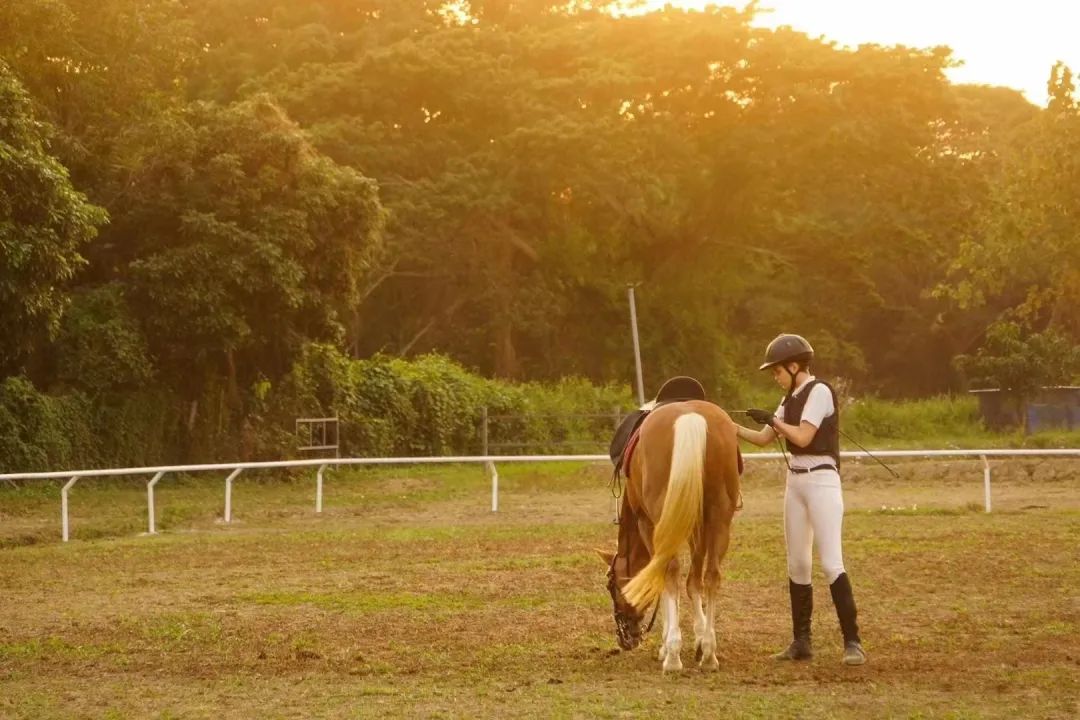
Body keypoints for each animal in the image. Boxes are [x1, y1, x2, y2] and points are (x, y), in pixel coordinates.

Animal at [600, 403, 743, 673]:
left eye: (611, 586)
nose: (625, 639)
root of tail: (690, 417)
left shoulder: (648, 524)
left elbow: (662, 576)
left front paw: (667, 646)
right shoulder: (697, 525)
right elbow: (693, 582)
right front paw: (700, 641)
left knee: (672, 570)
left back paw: (673, 658)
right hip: (719, 517)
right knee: (712, 576)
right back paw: (710, 656)